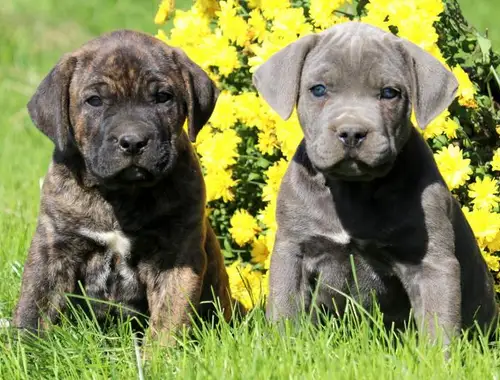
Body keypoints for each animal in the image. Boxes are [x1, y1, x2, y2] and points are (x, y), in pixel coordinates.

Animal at [13, 28, 236, 340]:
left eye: (163, 97)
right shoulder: (54, 247)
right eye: (94, 101)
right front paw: (26, 347)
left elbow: (169, 318)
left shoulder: (176, 255)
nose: (133, 141)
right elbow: (34, 304)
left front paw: (160, 354)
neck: (120, 195)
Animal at [254, 21, 500, 344]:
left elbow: (439, 323)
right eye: (318, 90)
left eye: (389, 93)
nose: (351, 132)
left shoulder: (432, 263)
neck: (353, 189)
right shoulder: (292, 250)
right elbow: (286, 309)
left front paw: (437, 356)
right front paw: (283, 347)